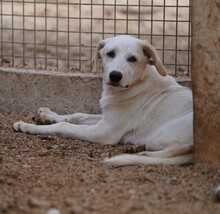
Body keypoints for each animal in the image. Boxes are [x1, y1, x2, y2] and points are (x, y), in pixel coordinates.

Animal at [12, 35, 193, 166]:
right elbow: (77, 115)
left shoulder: (104, 132)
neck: (138, 82)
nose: (115, 75)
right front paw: (48, 115)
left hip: (159, 135)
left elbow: (64, 126)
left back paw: (140, 152)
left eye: (133, 59)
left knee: (182, 148)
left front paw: (27, 126)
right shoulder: (106, 118)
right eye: (110, 53)